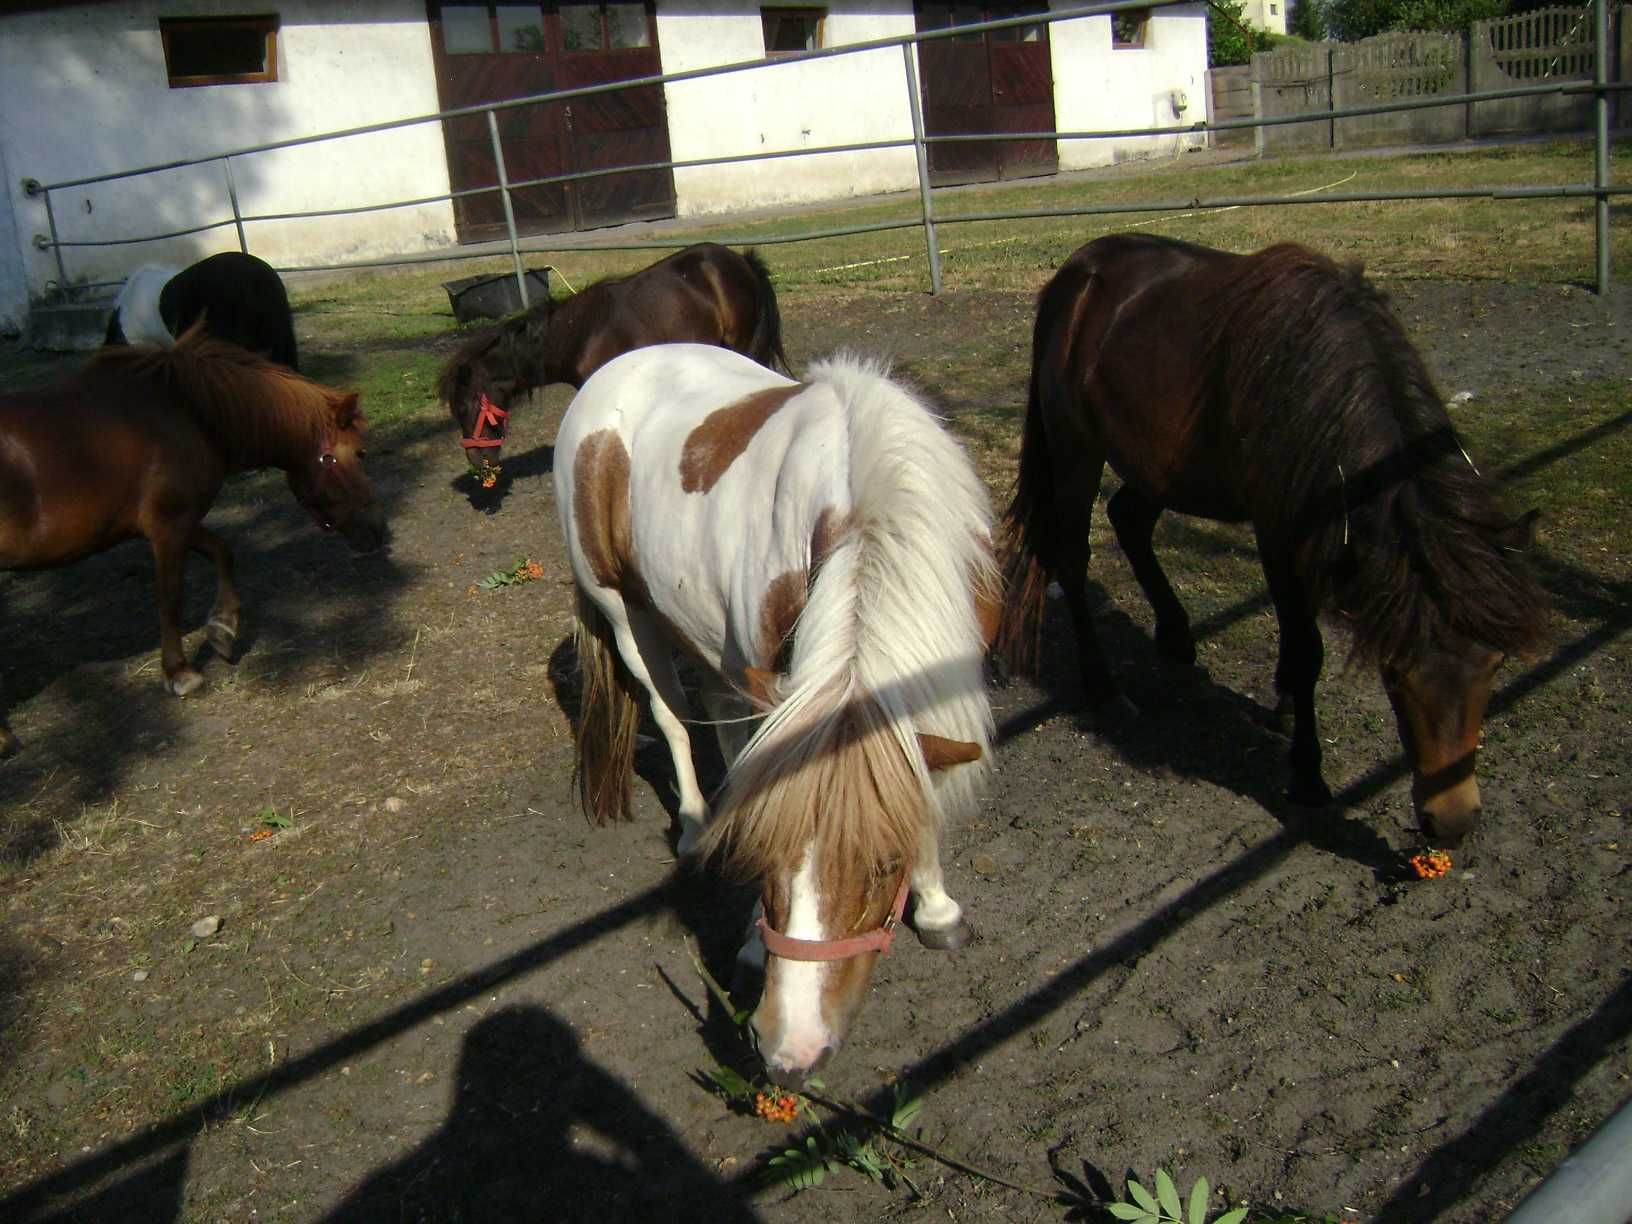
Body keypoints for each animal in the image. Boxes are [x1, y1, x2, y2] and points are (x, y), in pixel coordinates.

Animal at [0, 326, 383, 757]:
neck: (187, 415)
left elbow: (222, 552)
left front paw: (223, 629)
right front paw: (180, 672)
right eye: (357, 454)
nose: (379, 528)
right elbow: (171, 599)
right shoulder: (169, 528)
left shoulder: (179, 525)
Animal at [554, 341, 998, 1090]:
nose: (789, 1055)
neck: (866, 513)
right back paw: (697, 824)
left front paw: (936, 906)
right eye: (764, 858)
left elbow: (917, 786)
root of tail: (612, 370)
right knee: (674, 718)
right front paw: (754, 948)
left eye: (884, 864)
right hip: (627, 615)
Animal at [998, 235, 1547, 855]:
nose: (1451, 822)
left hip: (1161, 466)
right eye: (1393, 673)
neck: (1320, 382)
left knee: (1129, 521)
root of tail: (1077, 271)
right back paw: (1104, 686)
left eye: (1496, 664)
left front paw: (1284, 707)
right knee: (1073, 556)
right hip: (1076, 449)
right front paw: (1306, 772)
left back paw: (1176, 637)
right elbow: (1306, 649)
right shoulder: (1278, 531)